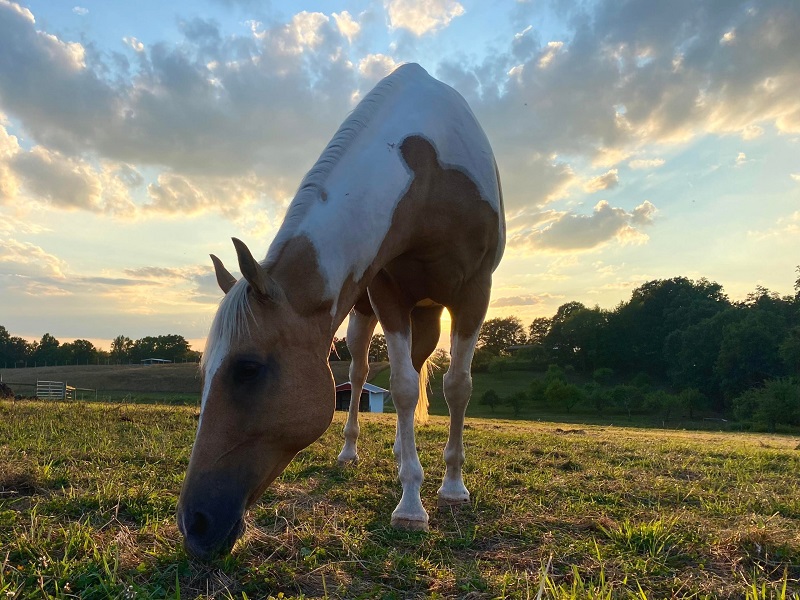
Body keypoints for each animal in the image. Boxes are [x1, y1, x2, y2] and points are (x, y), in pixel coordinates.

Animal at [177, 63, 505, 560]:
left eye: (248, 368)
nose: (193, 524)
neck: (431, 172)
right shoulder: (388, 293)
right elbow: (403, 389)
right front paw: (411, 503)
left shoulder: (474, 293)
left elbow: (457, 386)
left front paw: (450, 487)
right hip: (368, 317)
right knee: (366, 368)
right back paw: (357, 453)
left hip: (429, 313)